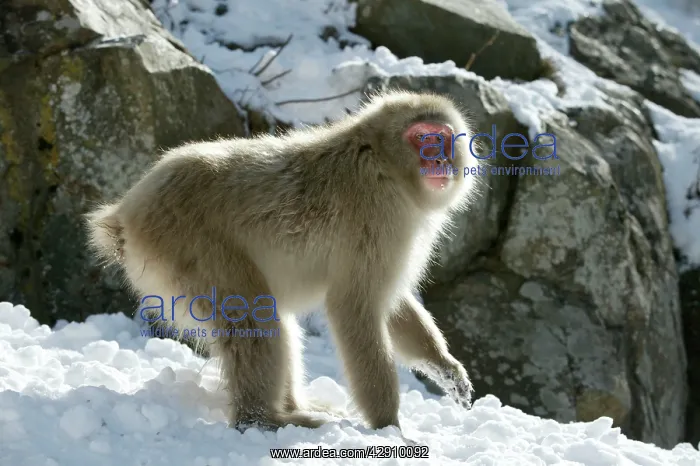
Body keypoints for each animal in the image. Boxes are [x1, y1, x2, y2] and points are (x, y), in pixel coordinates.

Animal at [84, 90, 479, 434]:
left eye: (443, 139)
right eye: (423, 138)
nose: (439, 160)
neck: (383, 161)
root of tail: (129, 210)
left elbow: (392, 304)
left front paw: (446, 369)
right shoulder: (379, 213)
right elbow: (354, 305)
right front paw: (389, 428)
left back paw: (290, 408)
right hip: (187, 243)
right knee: (253, 315)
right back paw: (262, 419)